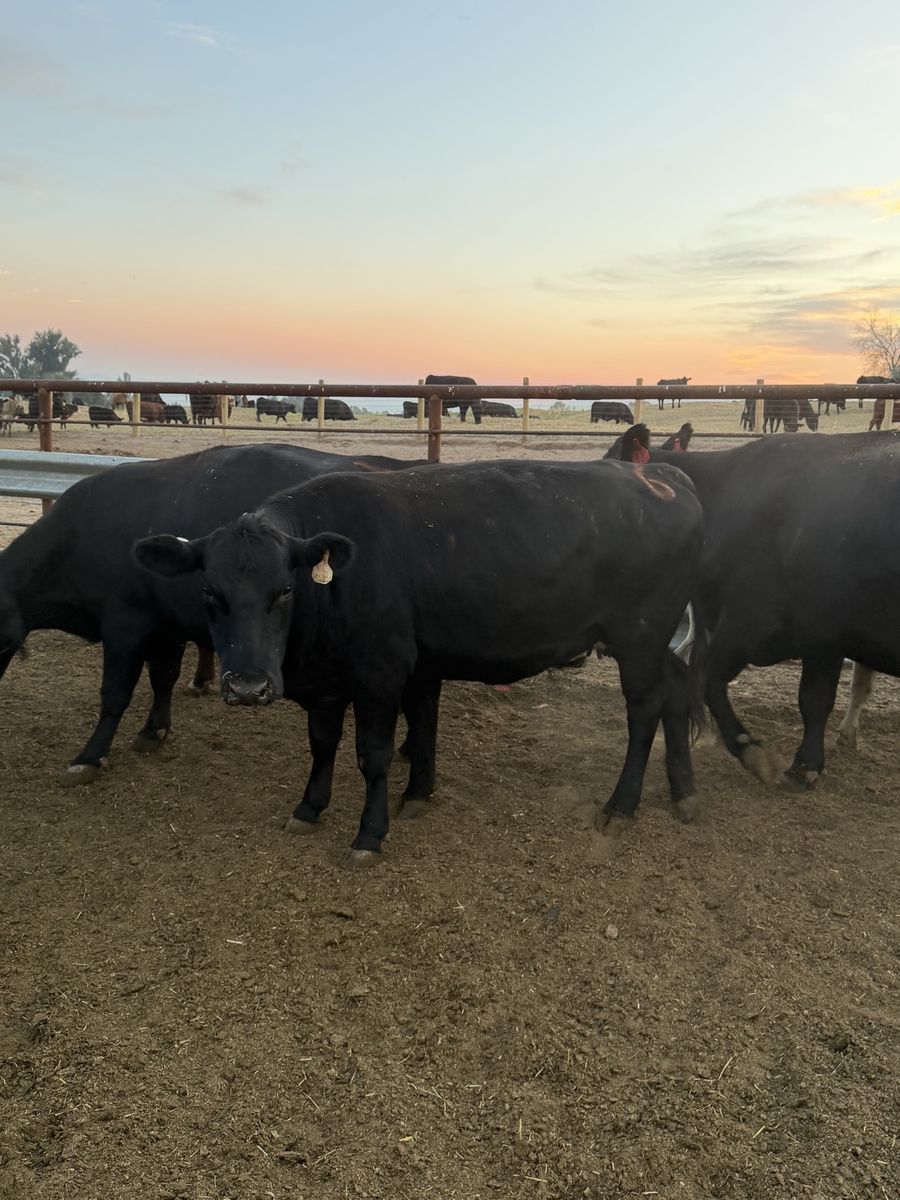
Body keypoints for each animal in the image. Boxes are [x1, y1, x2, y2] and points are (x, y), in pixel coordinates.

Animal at [0, 445, 428, 786]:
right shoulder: (167, 626)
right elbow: (163, 677)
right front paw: (155, 730)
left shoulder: (125, 624)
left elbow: (115, 694)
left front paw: (89, 756)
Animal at [133, 459, 705, 864]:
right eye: (209, 592)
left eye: (285, 590)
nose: (248, 686)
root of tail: (661, 473)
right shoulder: (343, 680)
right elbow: (333, 742)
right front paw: (317, 806)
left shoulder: (380, 674)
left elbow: (374, 755)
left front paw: (369, 832)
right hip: (655, 642)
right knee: (678, 692)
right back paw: (683, 793)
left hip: (638, 636)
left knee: (644, 708)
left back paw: (622, 804)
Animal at [645, 433, 900, 789]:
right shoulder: (821, 637)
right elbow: (818, 698)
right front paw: (806, 762)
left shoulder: (757, 624)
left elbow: (710, 680)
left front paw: (777, 758)